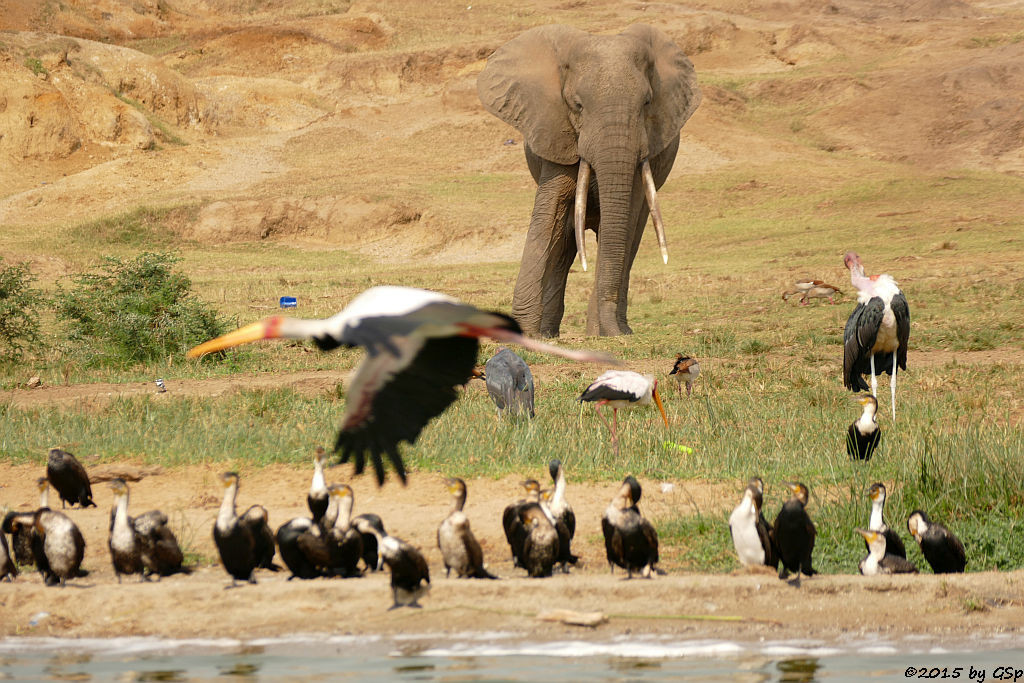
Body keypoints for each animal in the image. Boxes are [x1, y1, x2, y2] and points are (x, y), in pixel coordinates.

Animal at [475, 22, 700, 337]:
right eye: (577, 105)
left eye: (647, 103)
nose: (611, 333)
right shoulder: (555, 131)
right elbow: (550, 211)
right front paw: (526, 333)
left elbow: (623, 220)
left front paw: (603, 334)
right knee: (563, 245)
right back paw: (549, 333)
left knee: (630, 238)